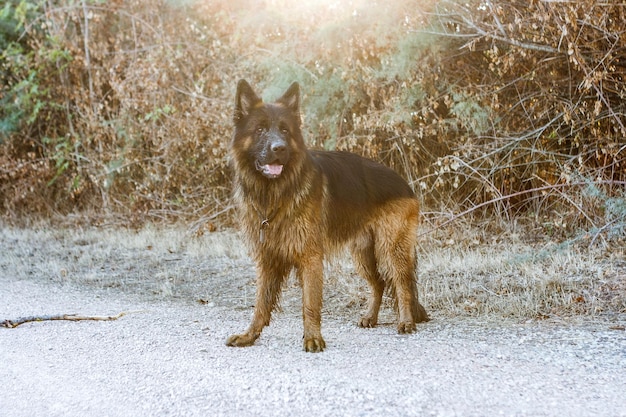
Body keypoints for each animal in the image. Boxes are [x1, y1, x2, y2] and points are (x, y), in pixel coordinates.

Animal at [222, 79, 426, 352]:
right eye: (260, 129)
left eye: (285, 130)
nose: (279, 148)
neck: (276, 192)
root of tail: (404, 183)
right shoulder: (268, 259)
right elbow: (261, 305)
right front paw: (249, 335)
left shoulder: (310, 257)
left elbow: (310, 303)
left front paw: (312, 338)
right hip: (363, 254)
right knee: (380, 283)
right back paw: (370, 317)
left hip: (390, 249)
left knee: (402, 284)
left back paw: (405, 321)